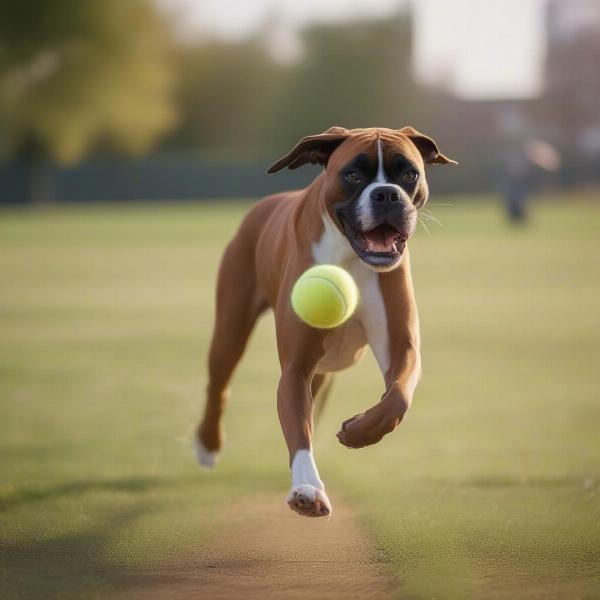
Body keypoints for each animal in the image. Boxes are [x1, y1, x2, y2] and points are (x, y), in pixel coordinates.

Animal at [196, 125, 454, 516]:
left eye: (409, 174)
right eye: (353, 175)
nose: (386, 194)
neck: (350, 256)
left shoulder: (401, 348)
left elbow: (397, 397)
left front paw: (359, 430)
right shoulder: (296, 367)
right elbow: (297, 428)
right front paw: (307, 488)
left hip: (321, 372)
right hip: (230, 331)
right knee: (218, 386)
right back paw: (208, 445)